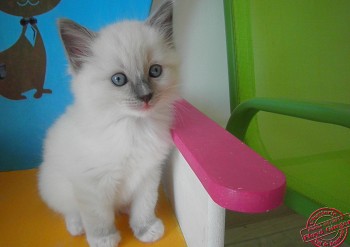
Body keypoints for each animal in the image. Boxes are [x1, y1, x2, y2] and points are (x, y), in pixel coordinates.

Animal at [38, 0, 179, 246]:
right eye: (119, 79)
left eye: (155, 71)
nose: (146, 97)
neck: (133, 127)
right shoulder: (92, 185)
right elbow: (98, 218)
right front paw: (104, 239)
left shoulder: (148, 173)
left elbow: (144, 206)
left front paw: (145, 230)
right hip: (55, 185)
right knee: (70, 210)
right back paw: (77, 226)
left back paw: (124, 209)